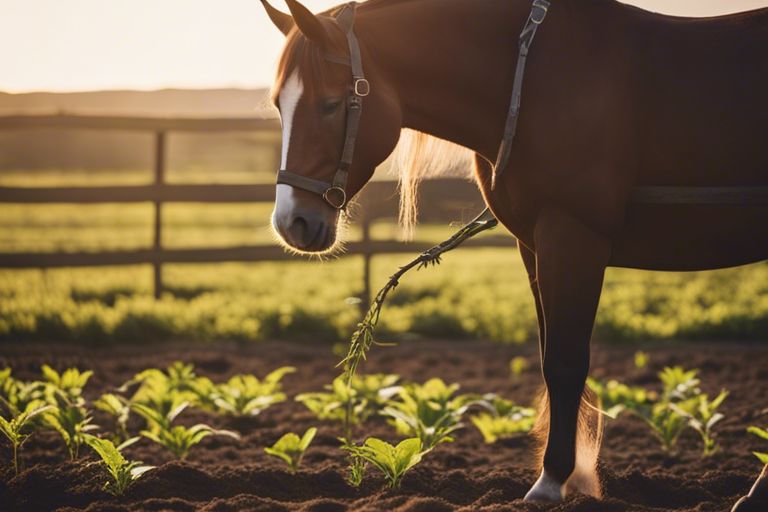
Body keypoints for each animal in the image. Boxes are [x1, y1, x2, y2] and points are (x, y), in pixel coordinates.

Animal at [260, 0, 768, 504]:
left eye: (330, 103)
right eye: (280, 105)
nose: (291, 223)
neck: (527, 83)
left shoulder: (572, 237)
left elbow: (566, 363)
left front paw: (552, 481)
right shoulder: (534, 247)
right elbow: (547, 361)